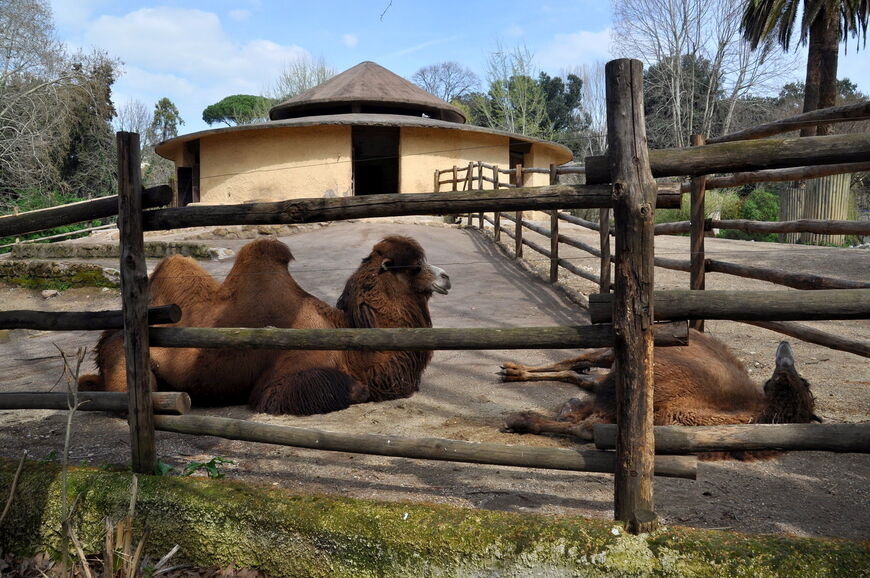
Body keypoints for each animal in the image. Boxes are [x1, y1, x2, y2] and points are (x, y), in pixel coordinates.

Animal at [78, 234, 454, 414]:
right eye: (414, 266)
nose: (446, 277)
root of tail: (105, 338)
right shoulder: (284, 383)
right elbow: (353, 390)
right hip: (125, 362)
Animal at [500, 328, 820, 460]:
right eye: (777, 378)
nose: (785, 348)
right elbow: (582, 422)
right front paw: (519, 418)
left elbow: (583, 425)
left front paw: (527, 417)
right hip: (611, 354)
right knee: (575, 360)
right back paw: (511, 370)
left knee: (579, 375)